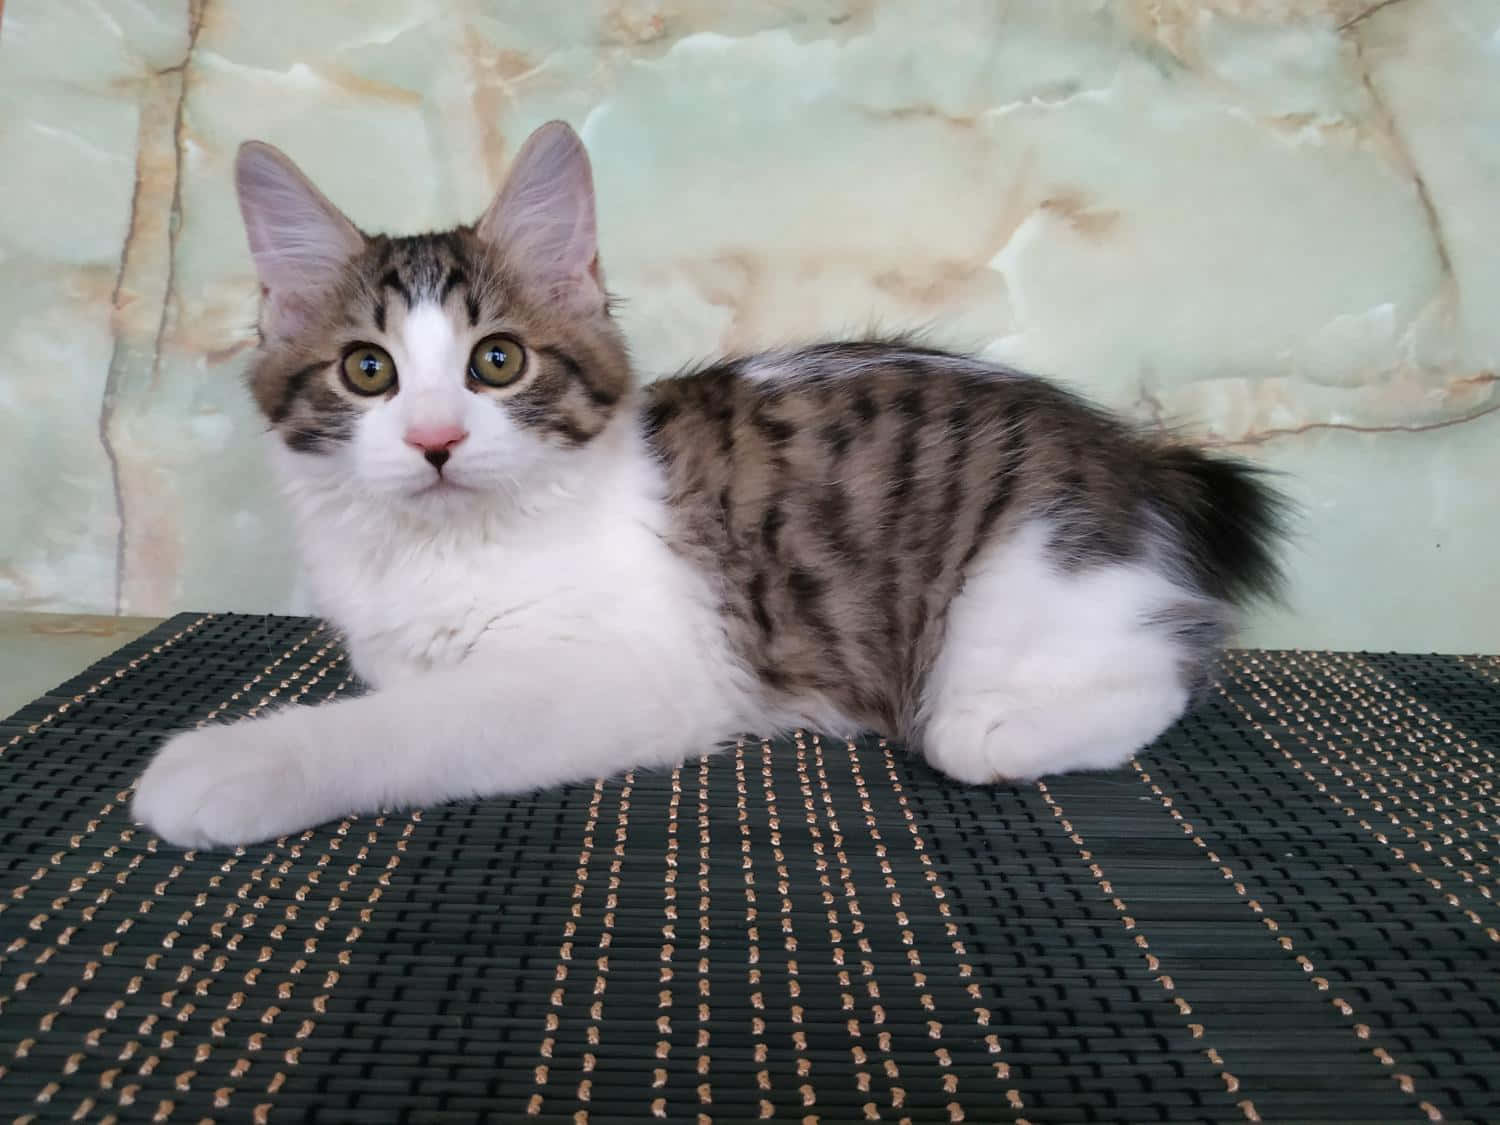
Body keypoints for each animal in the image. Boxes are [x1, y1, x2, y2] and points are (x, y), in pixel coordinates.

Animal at [132, 119, 1278, 852]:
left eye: (496, 361)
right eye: (368, 371)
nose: (435, 439)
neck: (441, 551)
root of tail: (1134, 458)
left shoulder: (626, 670)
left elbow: (404, 727)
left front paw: (227, 766)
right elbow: (396, 696)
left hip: (1020, 585)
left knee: (1160, 676)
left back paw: (995, 730)